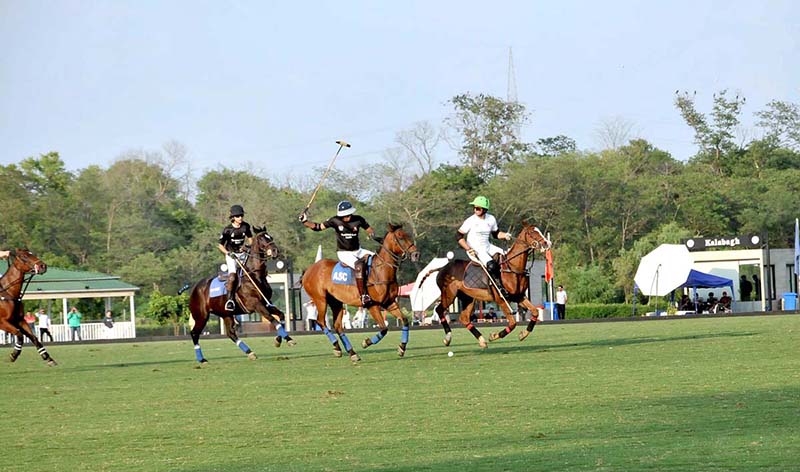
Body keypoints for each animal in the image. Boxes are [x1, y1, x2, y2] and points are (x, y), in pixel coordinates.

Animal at [186, 227, 296, 364]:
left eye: (270, 237)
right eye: (262, 239)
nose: (275, 251)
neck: (254, 275)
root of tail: (195, 288)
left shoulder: (266, 303)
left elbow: (280, 316)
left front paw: (280, 340)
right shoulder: (255, 304)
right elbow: (272, 319)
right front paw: (286, 340)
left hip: (226, 314)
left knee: (231, 333)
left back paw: (250, 353)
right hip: (201, 315)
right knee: (194, 333)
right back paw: (201, 359)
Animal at [302, 224, 418, 362]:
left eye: (408, 235)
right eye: (400, 237)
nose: (416, 254)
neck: (381, 271)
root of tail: (308, 270)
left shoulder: (389, 303)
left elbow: (405, 320)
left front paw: (402, 348)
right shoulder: (373, 305)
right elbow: (384, 328)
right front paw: (366, 342)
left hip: (336, 302)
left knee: (338, 326)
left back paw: (351, 352)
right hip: (320, 299)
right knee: (321, 322)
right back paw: (337, 347)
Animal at [424, 223, 552, 348]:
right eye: (532, 232)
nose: (547, 243)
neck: (512, 267)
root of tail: (442, 268)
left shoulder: (519, 296)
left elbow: (535, 312)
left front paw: (523, 334)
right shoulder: (501, 299)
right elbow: (512, 323)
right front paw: (494, 336)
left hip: (468, 297)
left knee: (464, 318)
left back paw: (481, 340)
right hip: (449, 294)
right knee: (439, 309)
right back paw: (448, 338)